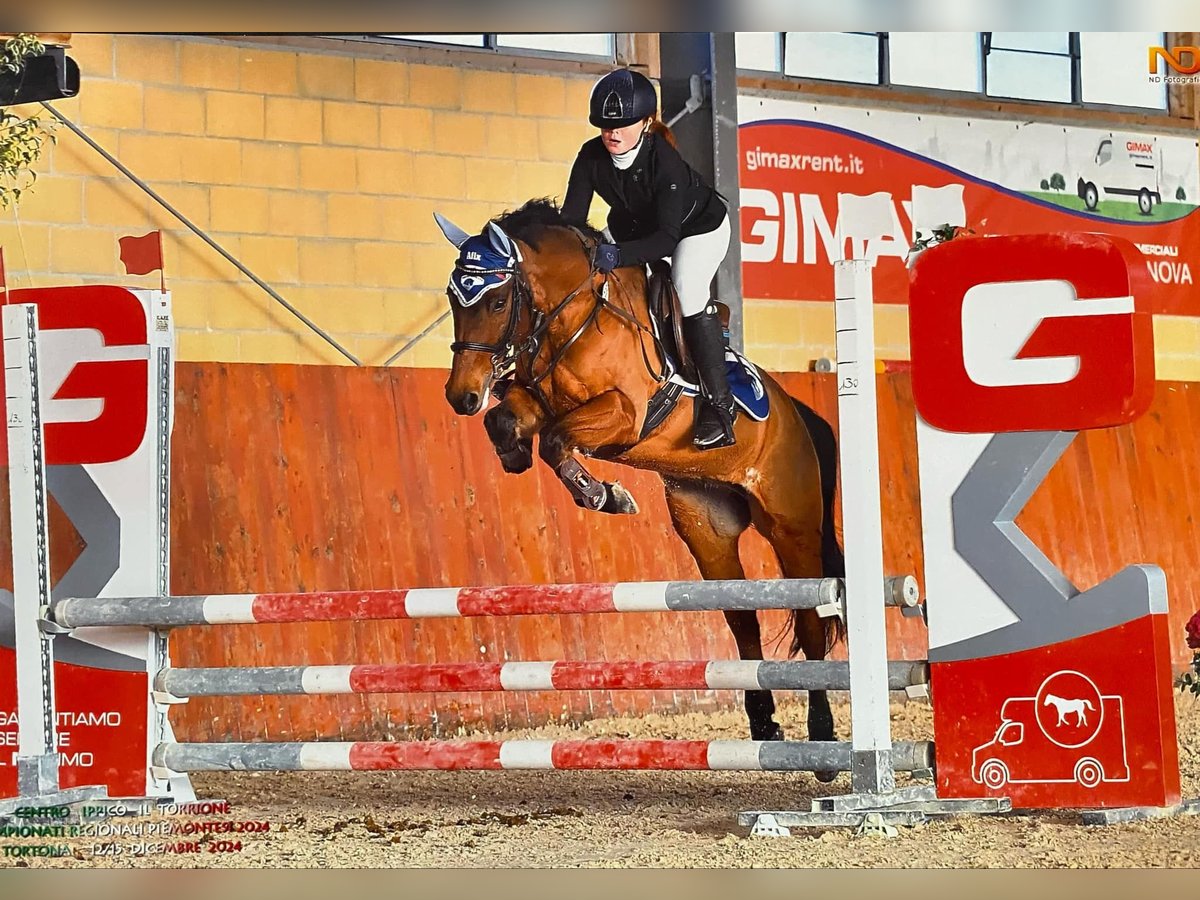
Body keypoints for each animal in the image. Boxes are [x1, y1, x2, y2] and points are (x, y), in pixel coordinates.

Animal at [432, 199, 844, 777]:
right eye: (453, 298)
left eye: (494, 300)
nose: (461, 396)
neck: (573, 319)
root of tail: (800, 414)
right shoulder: (541, 401)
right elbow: (509, 420)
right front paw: (513, 453)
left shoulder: (623, 414)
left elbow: (557, 442)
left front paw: (604, 495)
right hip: (707, 527)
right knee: (742, 620)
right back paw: (764, 726)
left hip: (792, 526)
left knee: (810, 623)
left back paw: (823, 741)